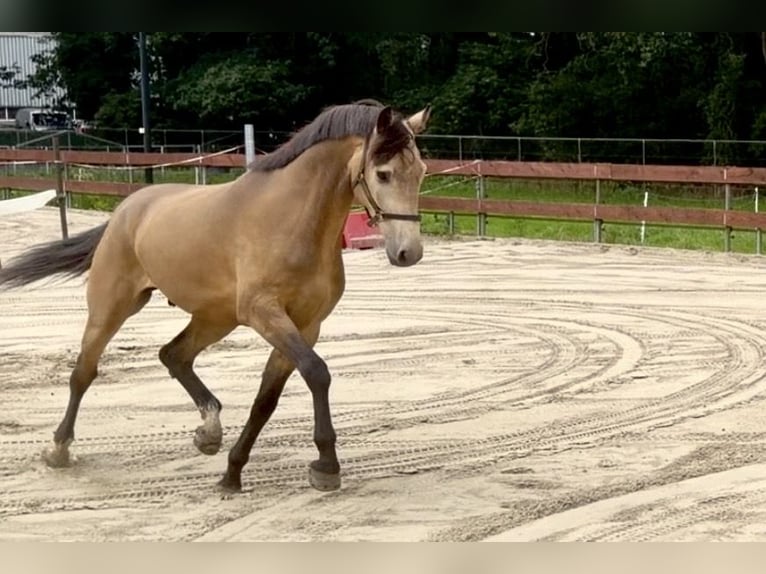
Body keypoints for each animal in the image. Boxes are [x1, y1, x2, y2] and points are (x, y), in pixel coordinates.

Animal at [0, 100, 432, 492]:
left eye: (421, 171)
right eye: (383, 174)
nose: (408, 253)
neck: (293, 220)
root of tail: (127, 209)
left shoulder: (306, 325)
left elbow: (267, 399)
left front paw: (232, 472)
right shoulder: (266, 313)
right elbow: (316, 373)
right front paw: (326, 465)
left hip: (214, 318)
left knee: (174, 355)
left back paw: (209, 432)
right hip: (113, 307)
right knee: (84, 373)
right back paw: (58, 449)